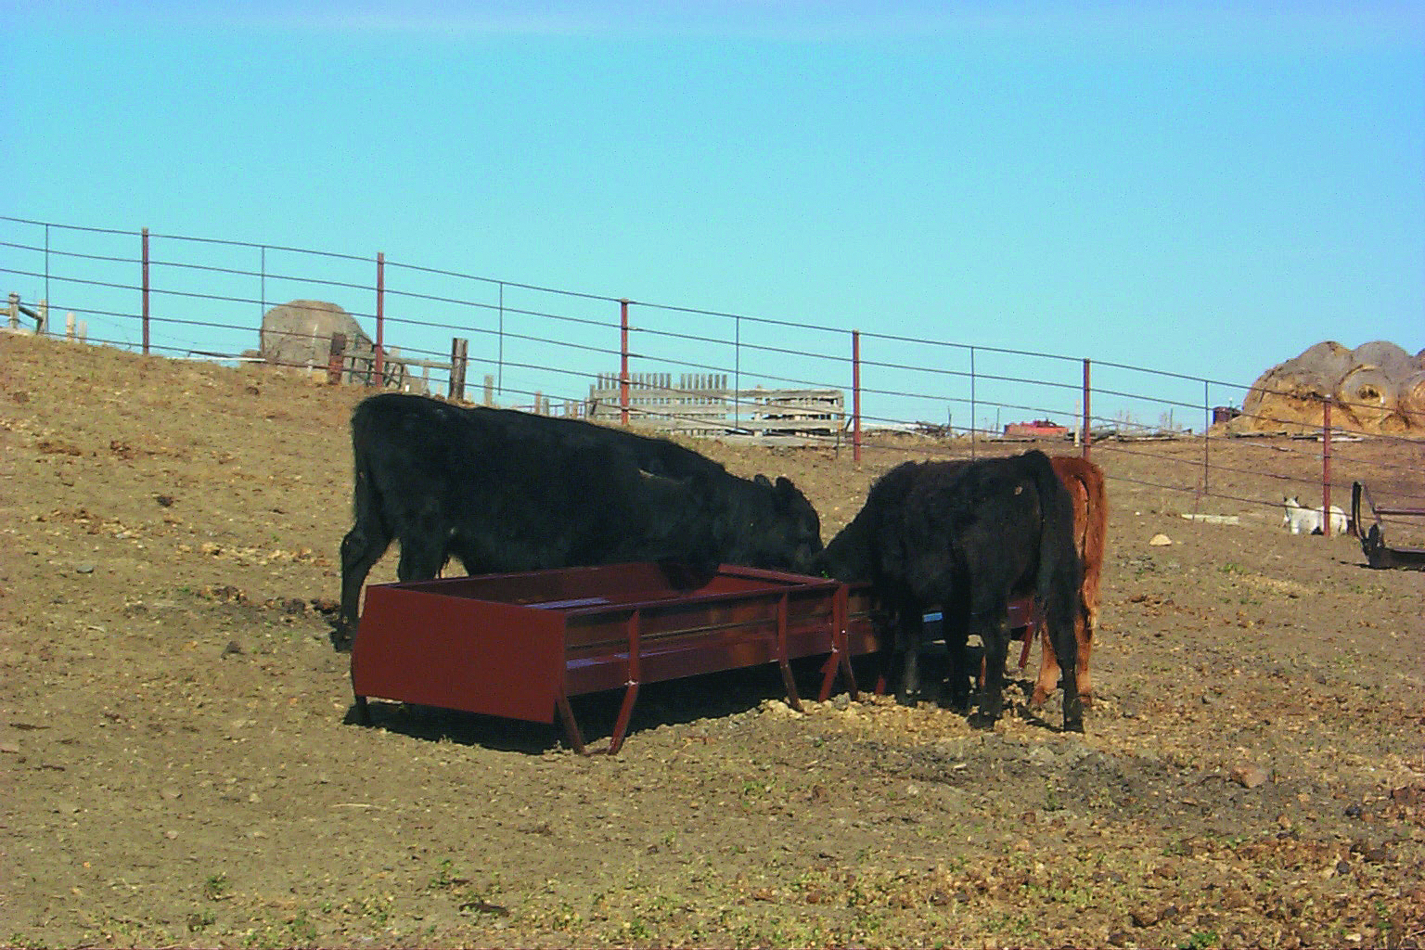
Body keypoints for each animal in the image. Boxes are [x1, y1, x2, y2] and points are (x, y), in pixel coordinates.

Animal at [334, 394, 822, 650]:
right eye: (805, 532)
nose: (822, 567)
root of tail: (382, 405)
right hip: (424, 531)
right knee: (408, 574)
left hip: (375, 515)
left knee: (355, 551)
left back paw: (348, 634)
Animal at [818, 450, 1084, 732]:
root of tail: (1024, 462)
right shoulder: (956, 597)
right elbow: (954, 637)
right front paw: (959, 694)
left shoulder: (908, 592)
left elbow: (912, 636)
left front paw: (908, 692)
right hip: (1061, 579)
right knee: (1065, 640)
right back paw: (1073, 718)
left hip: (991, 587)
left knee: (997, 636)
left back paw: (987, 713)